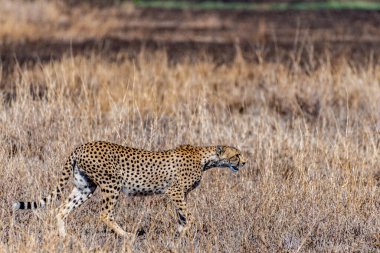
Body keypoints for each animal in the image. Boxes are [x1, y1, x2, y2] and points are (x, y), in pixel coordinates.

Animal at [12, 141, 246, 238]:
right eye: (236, 155)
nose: (244, 162)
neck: (206, 158)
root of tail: (82, 146)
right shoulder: (175, 191)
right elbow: (189, 214)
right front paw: (189, 229)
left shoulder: (180, 194)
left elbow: (181, 215)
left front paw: (180, 232)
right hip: (111, 185)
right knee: (104, 214)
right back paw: (126, 235)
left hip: (85, 186)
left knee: (61, 209)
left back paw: (64, 236)